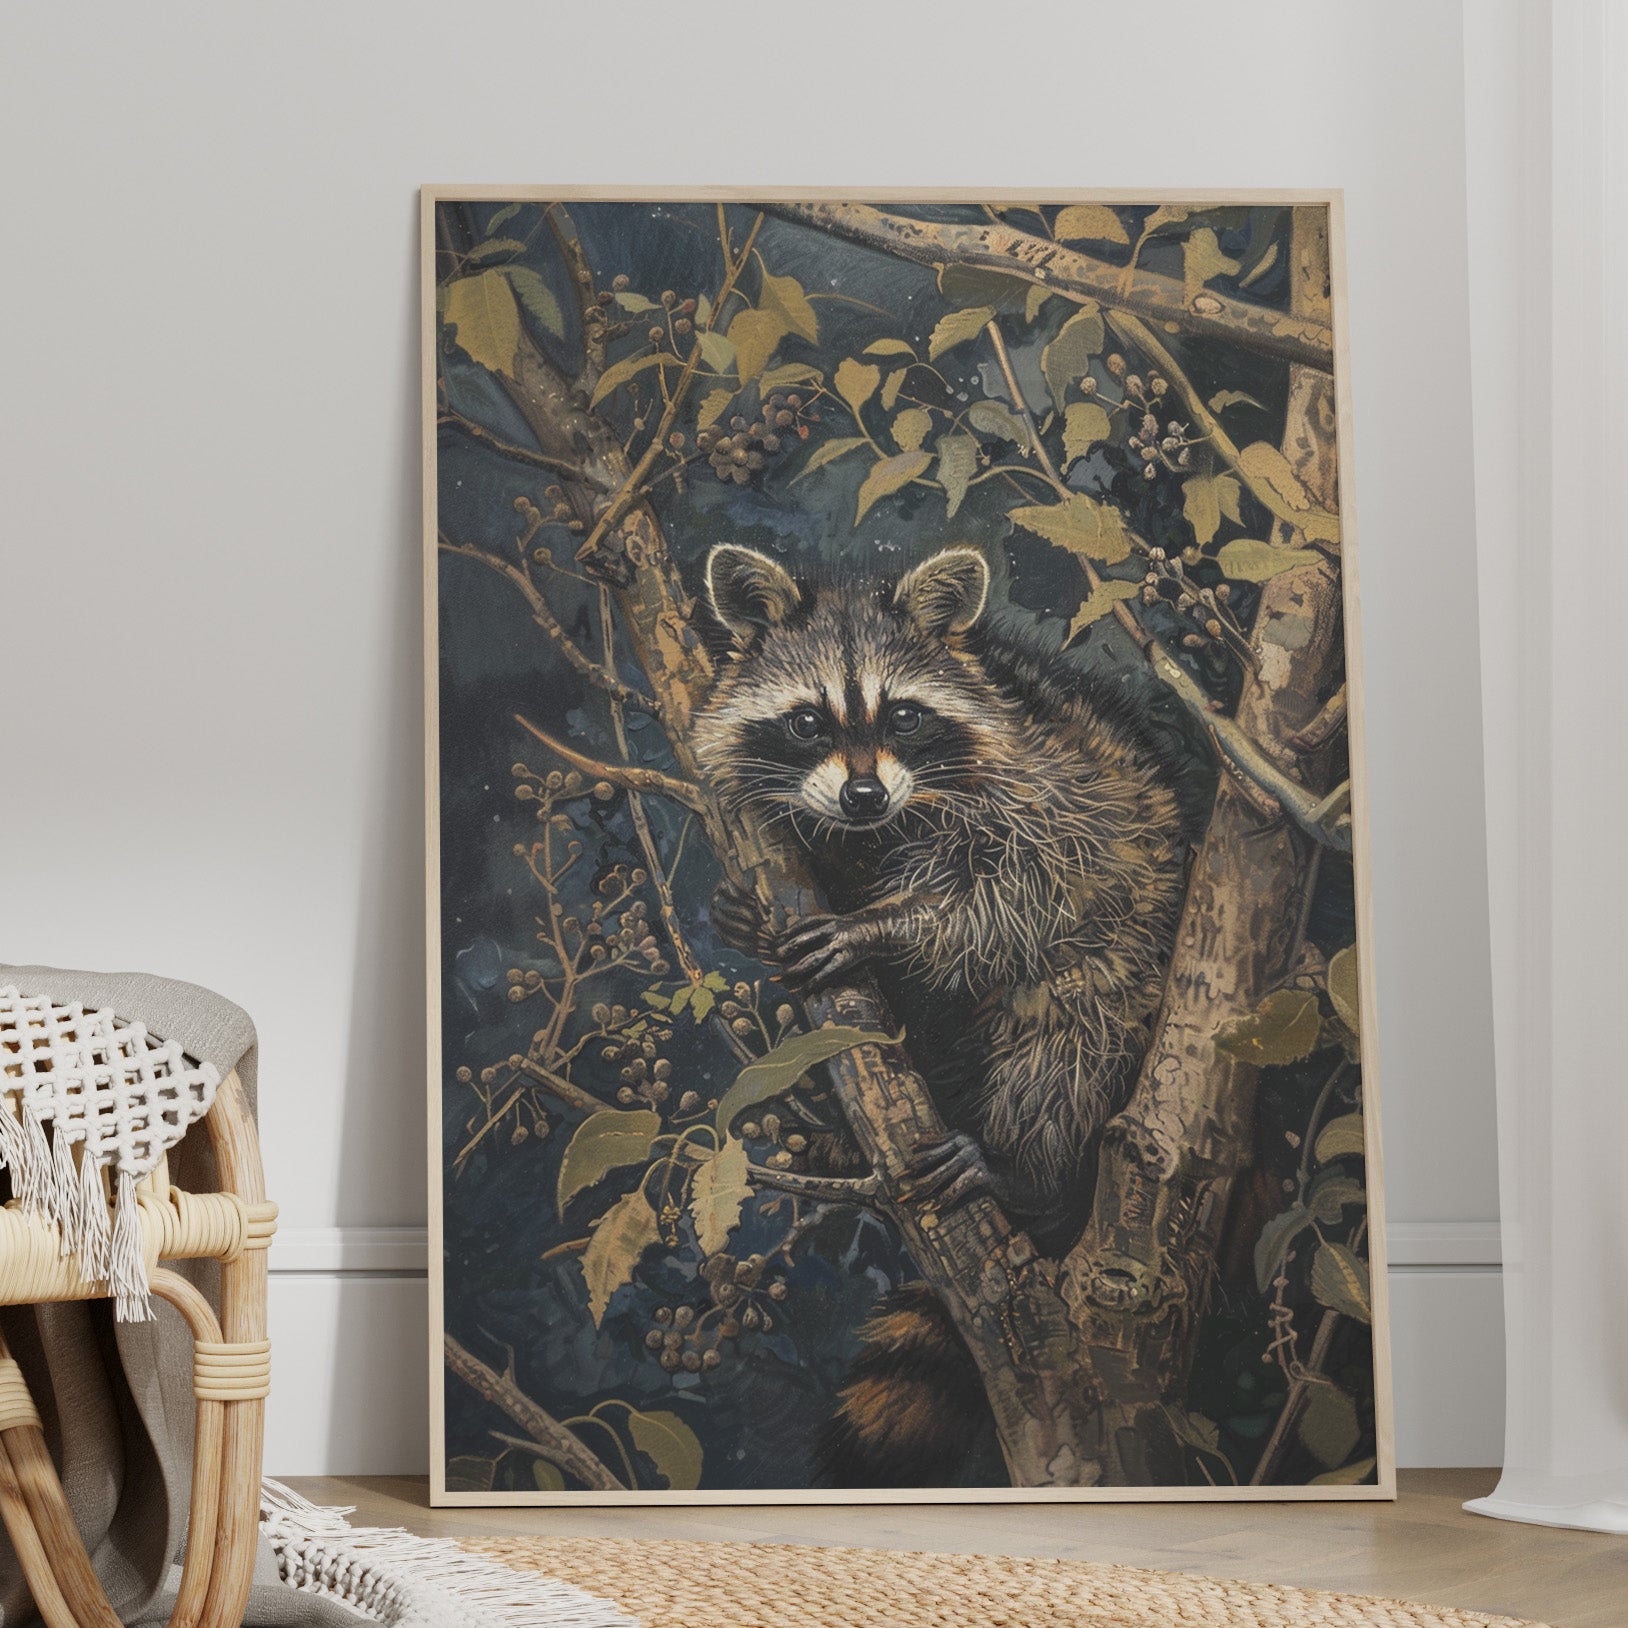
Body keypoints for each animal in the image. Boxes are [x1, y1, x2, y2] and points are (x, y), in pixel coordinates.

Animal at [692, 543, 1187, 1484]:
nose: (861, 796)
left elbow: (1010, 902)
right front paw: (750, 916)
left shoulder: (1051, 797)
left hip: (1128, 976)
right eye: (807, 722)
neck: (887, 826)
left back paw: (1022, 1167)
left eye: (905, 715)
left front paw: (886, 924)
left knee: (1065, 1043)